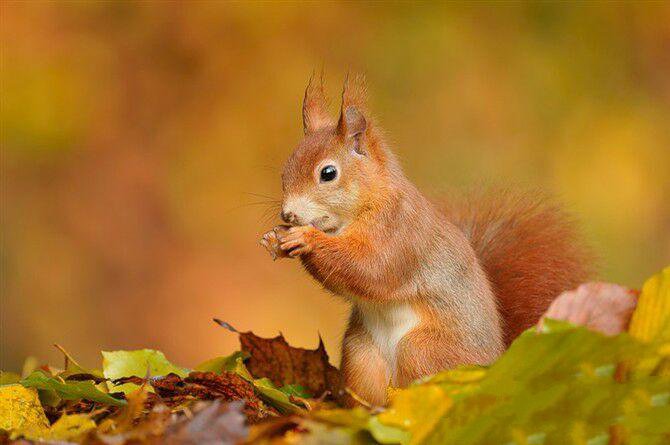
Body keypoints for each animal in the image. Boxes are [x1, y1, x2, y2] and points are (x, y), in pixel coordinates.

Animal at [262, 73, 592, 406]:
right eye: (284, 170)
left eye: (328, 173)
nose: (288, 214)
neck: (364, 207)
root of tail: (493, 371)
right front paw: (274, 238)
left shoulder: (399, 234)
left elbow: (371, 270)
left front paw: (306, 238)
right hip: (361, 353)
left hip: (424, 350)